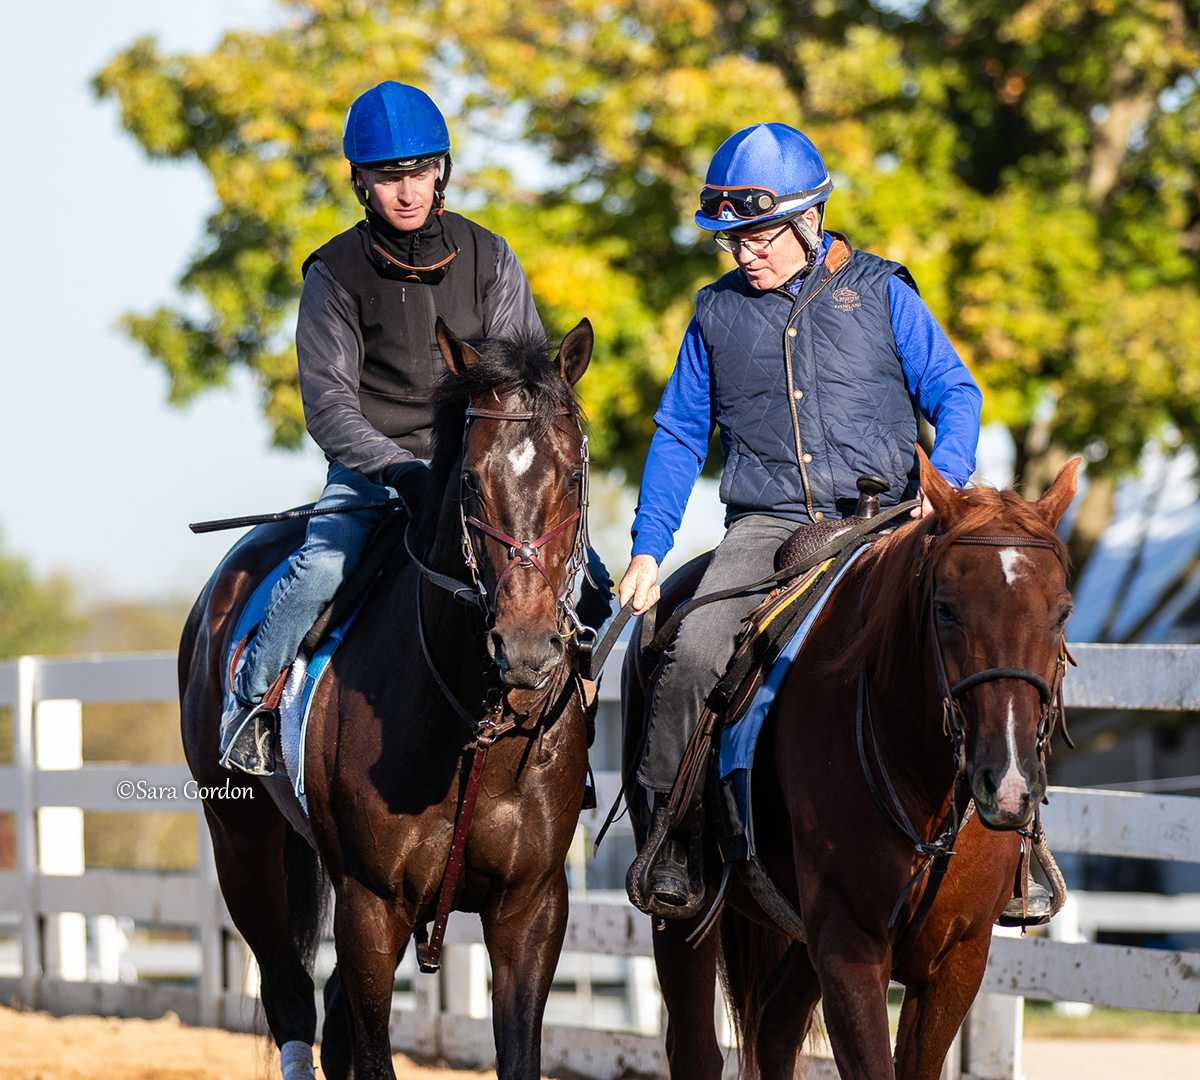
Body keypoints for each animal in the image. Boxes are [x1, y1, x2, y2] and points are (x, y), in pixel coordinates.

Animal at [179, 317, 597, 1080]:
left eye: (573, 476)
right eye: (470, 481)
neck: (474, 734)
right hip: (241, 841)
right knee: (290, 996)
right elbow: (371, 1054)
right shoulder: (370, 906)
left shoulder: (531, 907)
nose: (525, 647)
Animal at [621, 450, 1081, 1080]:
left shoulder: (956, 960)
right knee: (696, 1048)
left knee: (776, 1023)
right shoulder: (849, 947)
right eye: (945, 610)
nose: (1007, 784)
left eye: (1062, 614)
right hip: (685, 919)